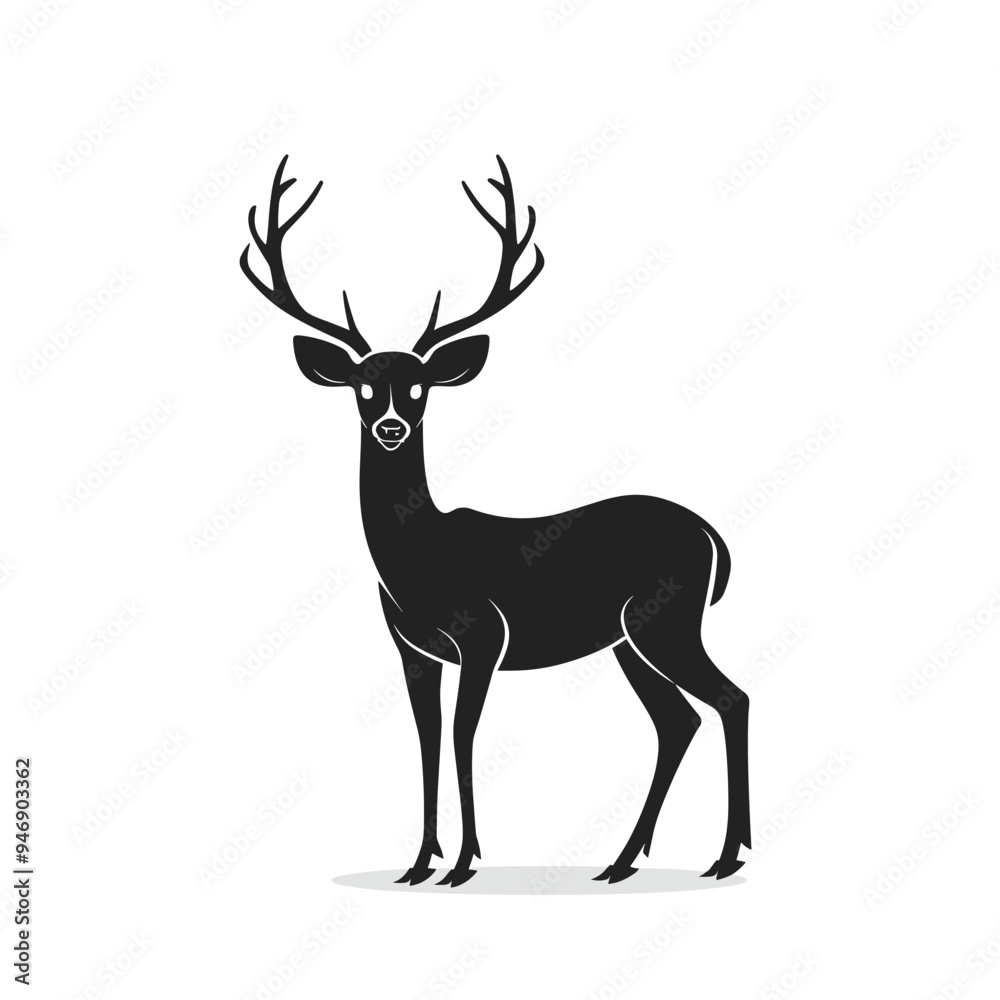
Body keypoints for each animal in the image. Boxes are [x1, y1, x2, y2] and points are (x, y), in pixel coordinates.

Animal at [240, 154, 750, 887]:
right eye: (362, 386)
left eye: (419, 386)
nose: (391, 426)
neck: (418, 560)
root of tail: (712, 536)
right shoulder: (412, 648)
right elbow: (426, 741)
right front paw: (418, 863)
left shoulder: (483, 634)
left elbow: (462, 738)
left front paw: (462, 863)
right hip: (630, 637)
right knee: (678, 719)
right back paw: (623, 861)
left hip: (668, 619)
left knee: (729, 699)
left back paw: (726, 855)